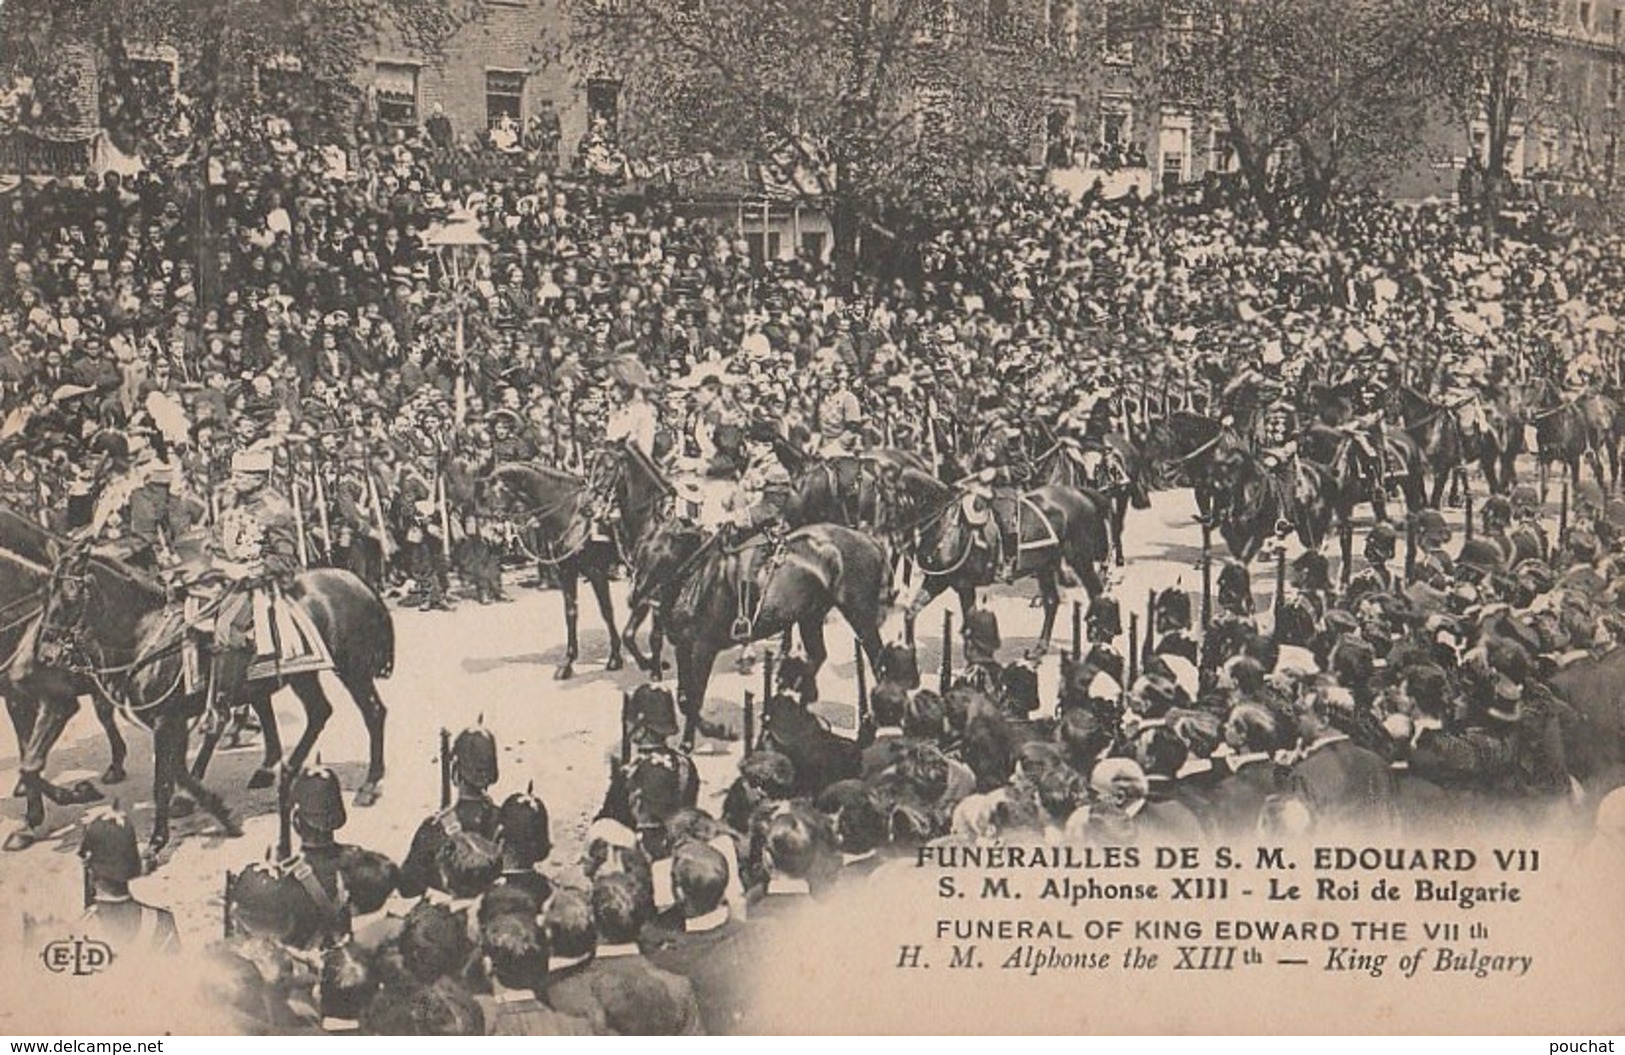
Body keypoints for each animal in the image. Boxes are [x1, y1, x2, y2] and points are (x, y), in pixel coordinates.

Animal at [0, 507, 125, 851]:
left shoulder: (59, 703)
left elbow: (31, 764)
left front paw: (77, 793)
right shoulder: (16, 700)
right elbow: (27, 756)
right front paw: (30, 821)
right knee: (106, 713)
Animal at [27, 542, 393, 858]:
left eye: (70, 594)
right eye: (45, 595)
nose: (46, 655)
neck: (149, 634)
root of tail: (357, 582)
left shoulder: (166, 721)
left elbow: (163, 781)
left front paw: (156, 843)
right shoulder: (172, 721)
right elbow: (179, 772)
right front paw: (221, 813)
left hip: (352, 669)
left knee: (373, 713)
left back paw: (369, 784)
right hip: (303, 674)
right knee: (319, 713)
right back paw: (287, 771)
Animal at [477, 438, 669, 679]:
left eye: (497, 492)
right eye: (482, 495)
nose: (488, 535)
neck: (571, 515)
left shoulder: (596, 571)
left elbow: (607, 611)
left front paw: (615, 658)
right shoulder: (566, 571)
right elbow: (570, 613)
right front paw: (568, 662)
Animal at [617, 516, 890, 747]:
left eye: (660, 553)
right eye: (638, 550)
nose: (634, 597)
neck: (697, 578)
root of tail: (871, 541)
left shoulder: (704, 649)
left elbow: (695, 697)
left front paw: (697, 739)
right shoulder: (683, 647)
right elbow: (685, 698)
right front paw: (707, 730)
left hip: (860, 617)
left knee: (877, 660)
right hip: (810, 616)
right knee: (818, 655)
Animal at [884, 468, 1111, 653]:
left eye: (890, 500)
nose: (889, 541)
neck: (948, 525)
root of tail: (1081, 493)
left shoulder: (964, 584)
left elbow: (970, 623)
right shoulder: (937, 580)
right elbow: (911, 612)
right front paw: (910, 649)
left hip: (1081, 560)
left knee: (1096, 592)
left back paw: (1099, 636)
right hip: (1045, 566)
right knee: (1051, 602)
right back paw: (1039, 649)